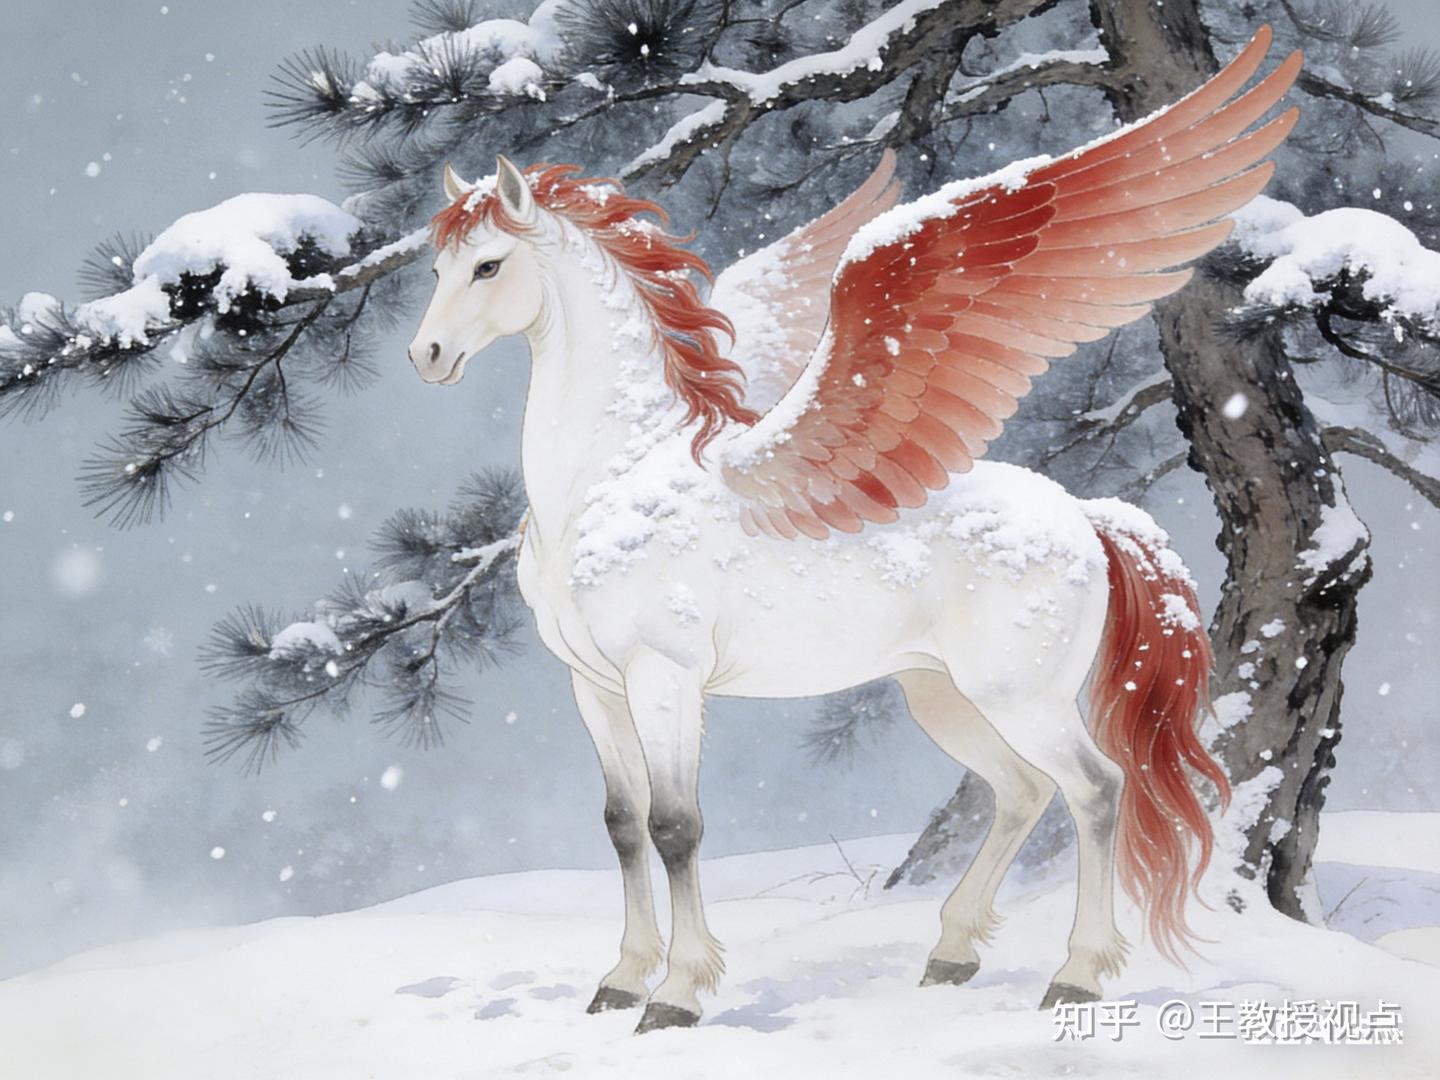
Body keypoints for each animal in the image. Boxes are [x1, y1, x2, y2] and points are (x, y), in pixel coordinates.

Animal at [407, 28, 1297, 1032]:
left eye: (488, 266)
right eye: (437, 268)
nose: (427, 357)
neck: (614, 474)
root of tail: (1084, 517)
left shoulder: (663, 678)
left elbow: (677, 827)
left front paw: (675, 996)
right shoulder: (593, 686)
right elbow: (624, 825)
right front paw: (620, 981)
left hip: (1018, 696)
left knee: (1095, 789)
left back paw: (1074, 975)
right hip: (943, 697)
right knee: (1023, 790)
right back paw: (950, 955)